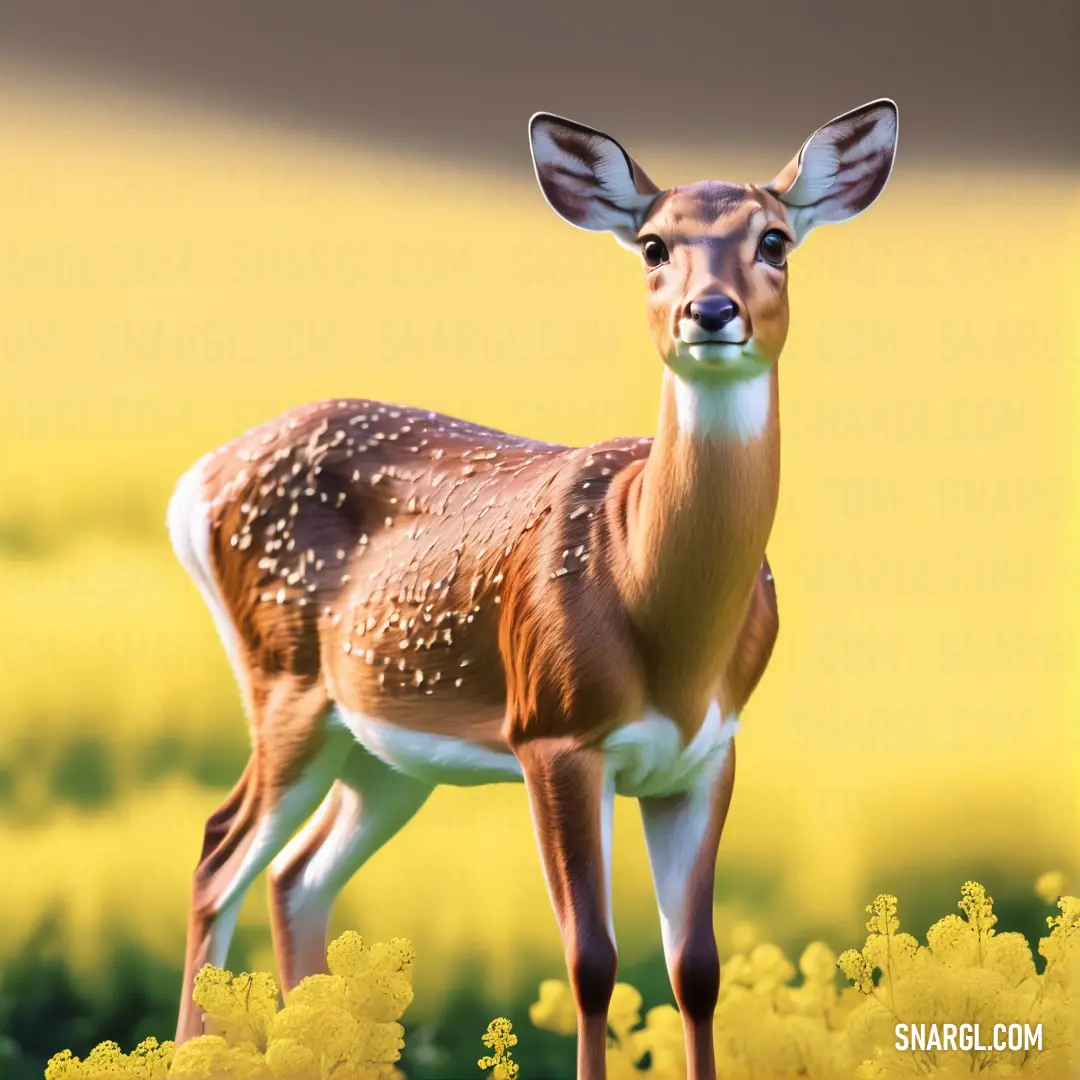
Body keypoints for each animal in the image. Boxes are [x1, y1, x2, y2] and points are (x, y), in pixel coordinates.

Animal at [166, 97, 894, 1075]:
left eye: (774, 240)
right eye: (654, 245)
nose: (711, 311)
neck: (661, 617)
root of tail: (196, 481)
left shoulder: (709, 752)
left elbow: (696, 968)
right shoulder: (551, 731)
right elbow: (591, 962)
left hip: (384, 746)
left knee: (296, 876)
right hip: (284, 682)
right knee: (219, 853)